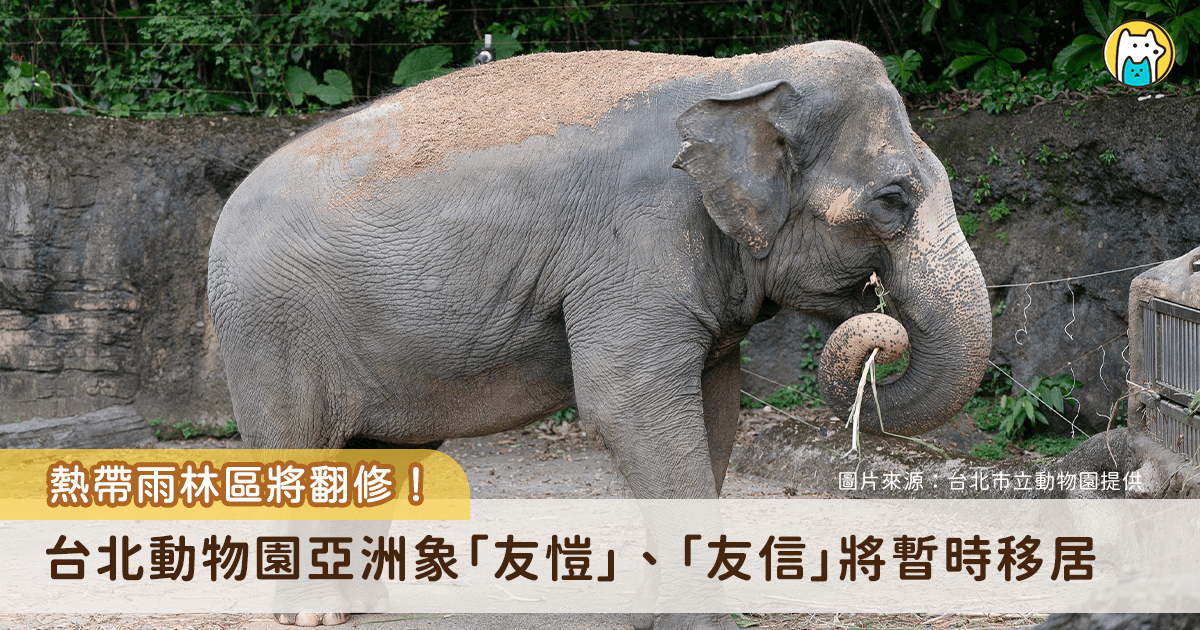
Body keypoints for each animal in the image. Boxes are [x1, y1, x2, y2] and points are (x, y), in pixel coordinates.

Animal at [207, 41, 991, 627]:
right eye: (892, 201)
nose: (880, 327)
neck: (740, 74)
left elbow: (714, 412)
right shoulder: (636, 246)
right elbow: (628, 407)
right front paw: (702, 625)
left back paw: (359, 604)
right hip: (271, 329)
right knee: (299, 444)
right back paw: (312, 614)